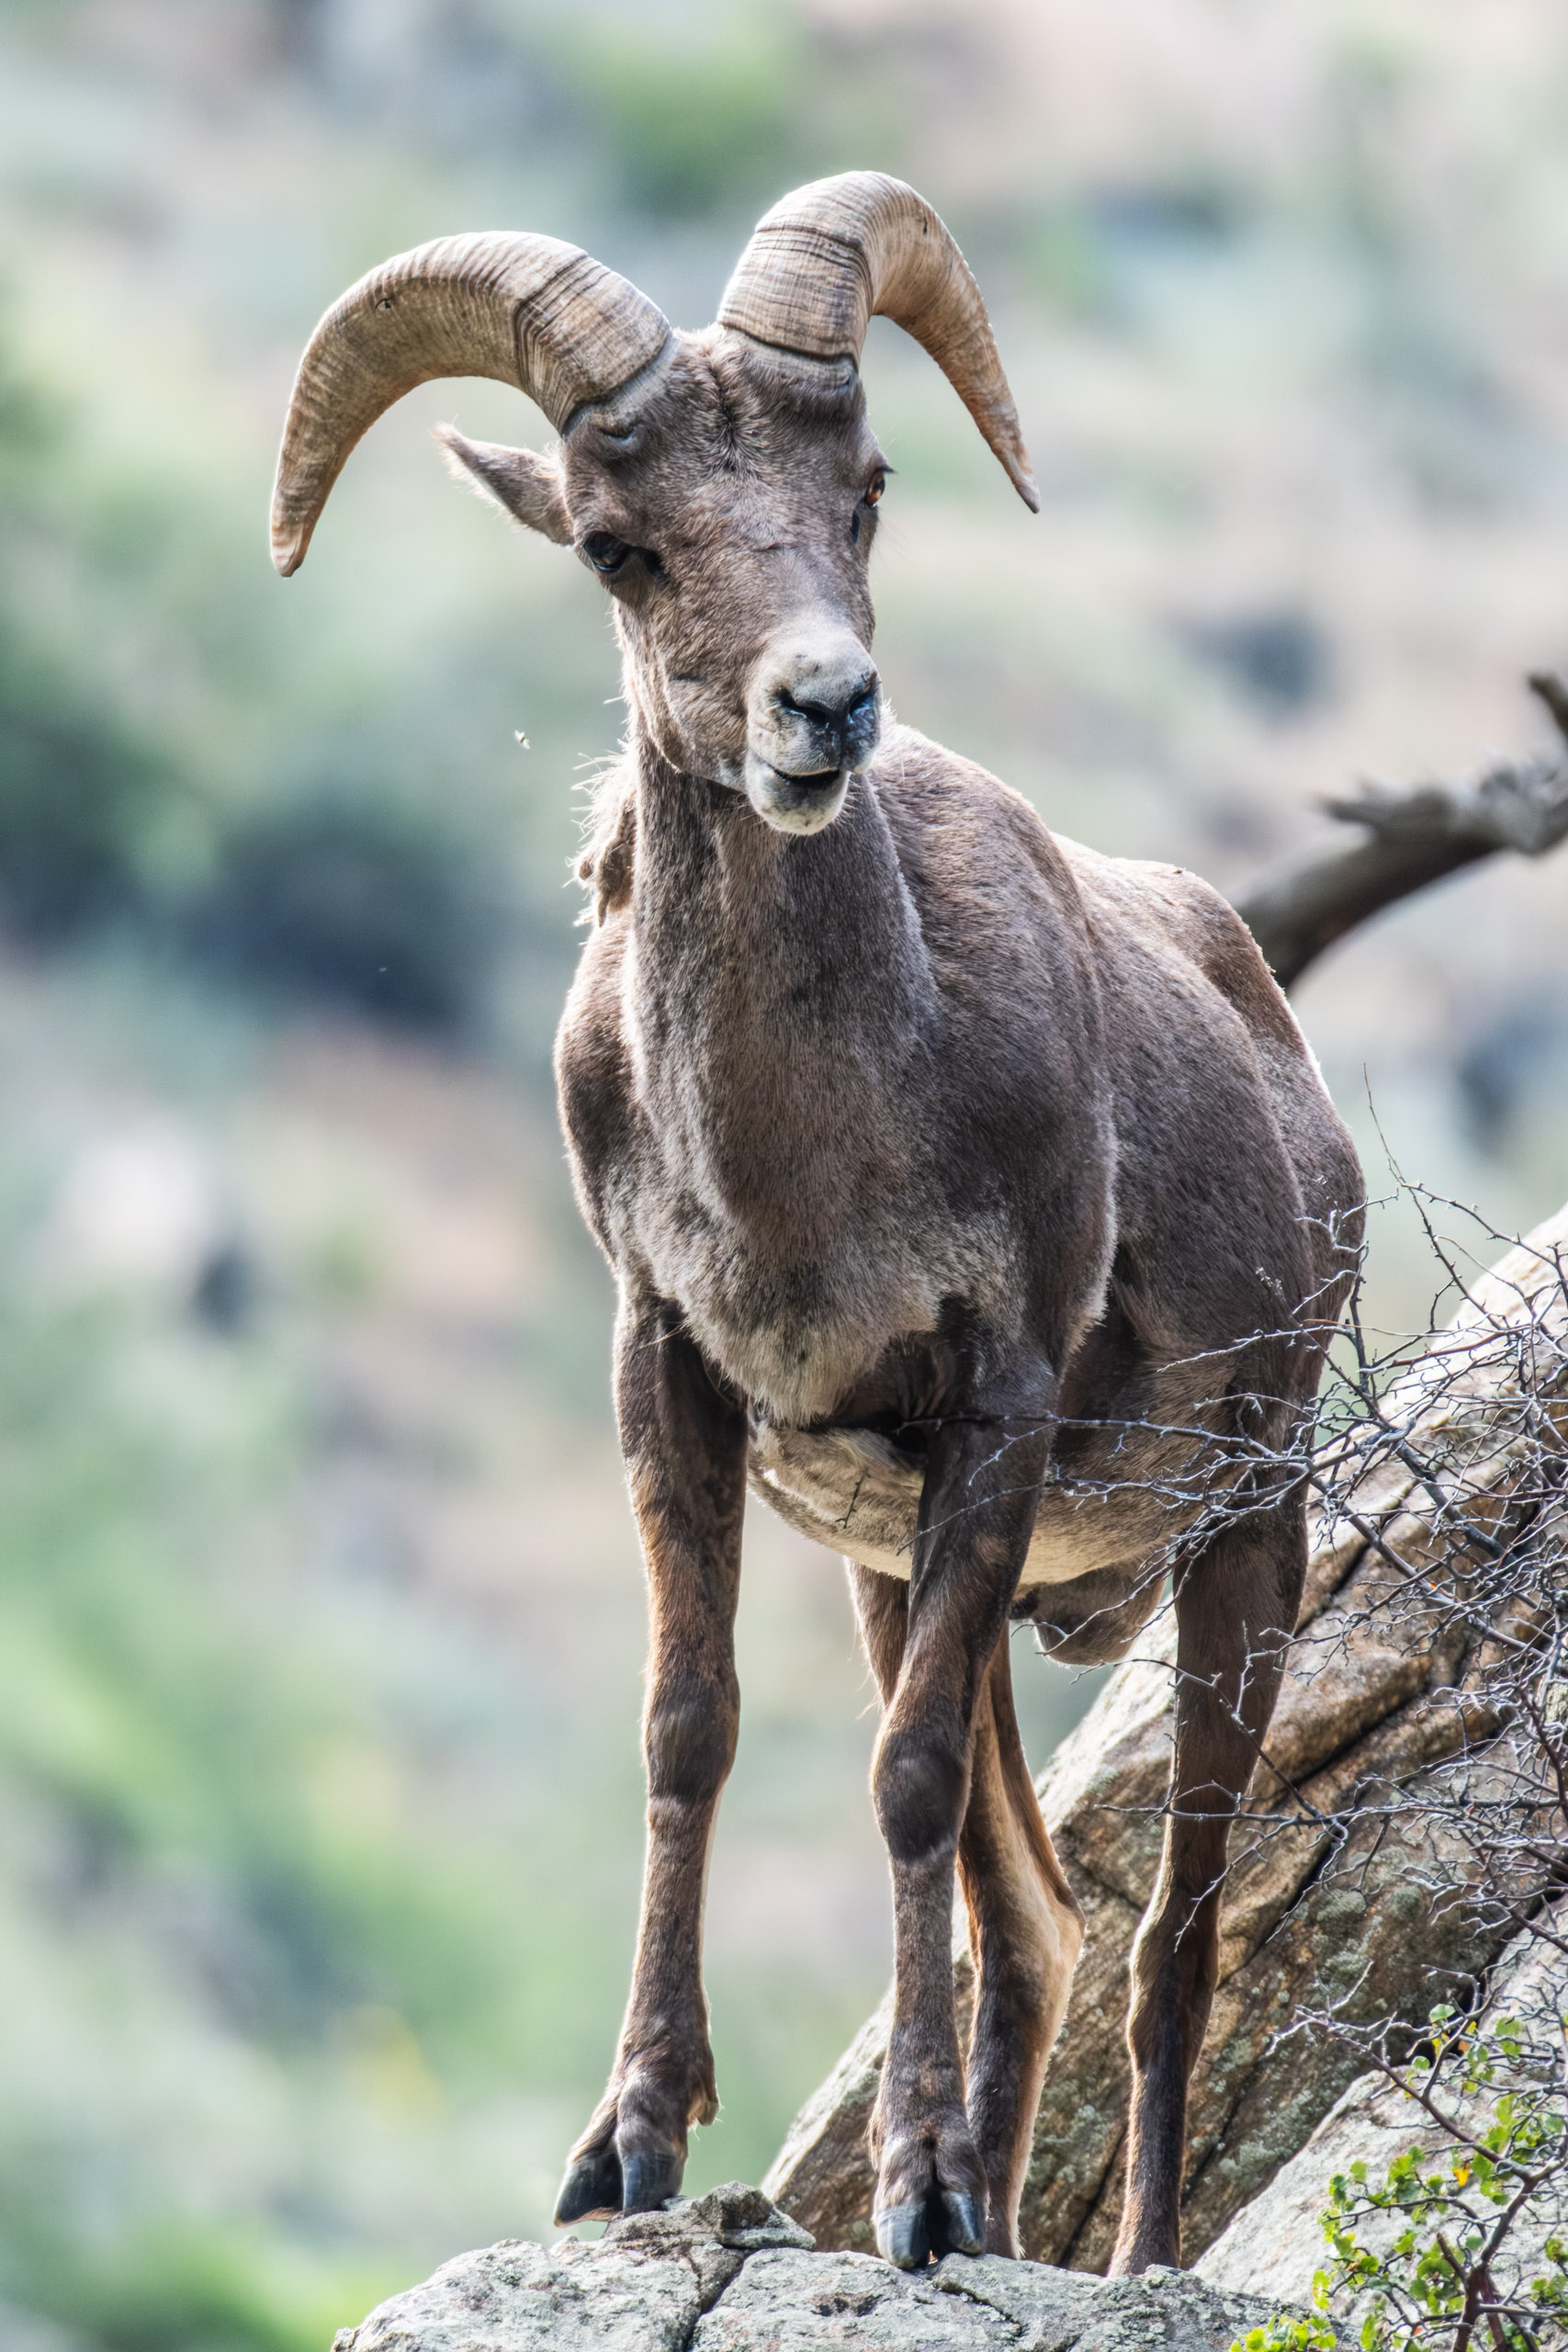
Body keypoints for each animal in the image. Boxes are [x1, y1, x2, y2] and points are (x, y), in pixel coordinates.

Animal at [272, 174, 1364, 2276]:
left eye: (863, 490)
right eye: (616, 546)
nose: (824, 708)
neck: (810, 1160)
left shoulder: (994, 1407)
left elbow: (902, 1783)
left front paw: (917, 2193)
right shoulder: (680, 1385)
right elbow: (688, 1733)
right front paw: (626, 2152)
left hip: (1237, 1548)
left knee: (1166, 1947)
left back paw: (1107, 2256)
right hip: (925, 1577)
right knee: (1038, 1923)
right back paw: (998, 2218)